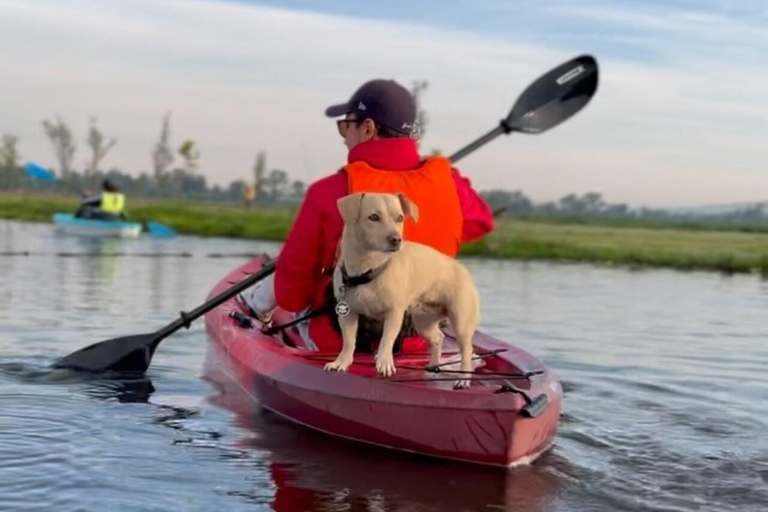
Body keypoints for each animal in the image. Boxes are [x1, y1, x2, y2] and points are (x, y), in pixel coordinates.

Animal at [322, 192, 480, 388]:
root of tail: (464, 270)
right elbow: (349, 341)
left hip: (461, 323)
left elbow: (386, 339)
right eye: (373, 217)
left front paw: (384, 363)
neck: (369, 268)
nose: (396, 239)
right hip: (424, 323)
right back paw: (433, 368)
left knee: (466, 349)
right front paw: (341, 363)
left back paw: (463, 378)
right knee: (438, 338)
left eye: (400, 218)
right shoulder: (347, 314)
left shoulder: (394, 313)